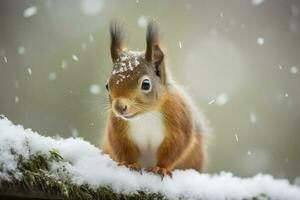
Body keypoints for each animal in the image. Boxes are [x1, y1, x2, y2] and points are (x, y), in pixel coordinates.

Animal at [101, 20, 209, 177]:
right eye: (107, 86)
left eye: (146, 84)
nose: (119, 107)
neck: (145, 115)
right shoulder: (118, 126)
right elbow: (122, 146)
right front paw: (129, 163)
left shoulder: (179, 119)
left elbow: (175, 147)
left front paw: (161, 168)